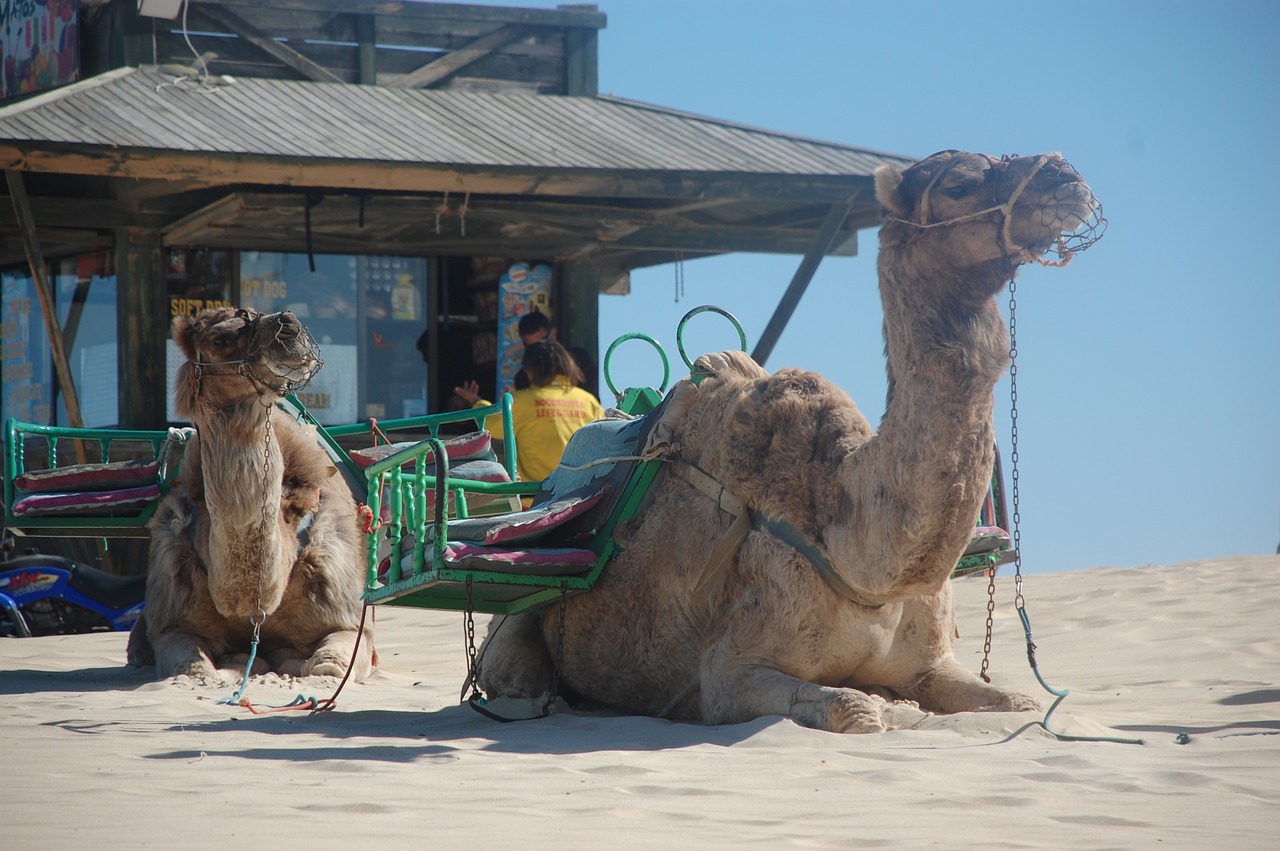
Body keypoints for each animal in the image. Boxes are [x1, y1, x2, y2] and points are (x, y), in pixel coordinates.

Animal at [126, 308, 373, 680]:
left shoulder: (345, 614)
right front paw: (236, 663)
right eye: (221, 338)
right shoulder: (172, 615)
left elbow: (327, 668)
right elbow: (193, 669)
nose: (289, 326)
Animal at [478, 147, 1100, 731]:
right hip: (512, 635)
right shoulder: (729, 672)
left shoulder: (932, 665)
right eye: (959, 186)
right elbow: (855, 708)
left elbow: (1018, 702)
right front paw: (888, 706)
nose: (1064, 177)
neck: (856, 556)